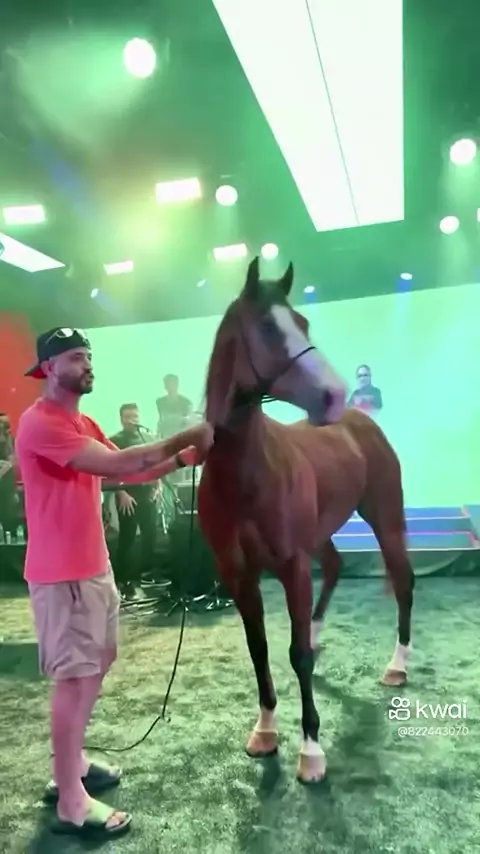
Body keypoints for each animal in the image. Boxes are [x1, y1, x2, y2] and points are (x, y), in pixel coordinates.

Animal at [197, 256, 414, 785]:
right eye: (268, 328)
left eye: (303, 322)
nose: (334, 395)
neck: (243, 470)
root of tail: (361, 422)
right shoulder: (239, 575)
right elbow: (259, 650)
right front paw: (265, 732)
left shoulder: (292, 565)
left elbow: (294, 657)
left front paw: (312, 752)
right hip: (321, 535)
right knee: (335, 567)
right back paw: (317, 635)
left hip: (385, 518)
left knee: (402, 581)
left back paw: (397, 665)